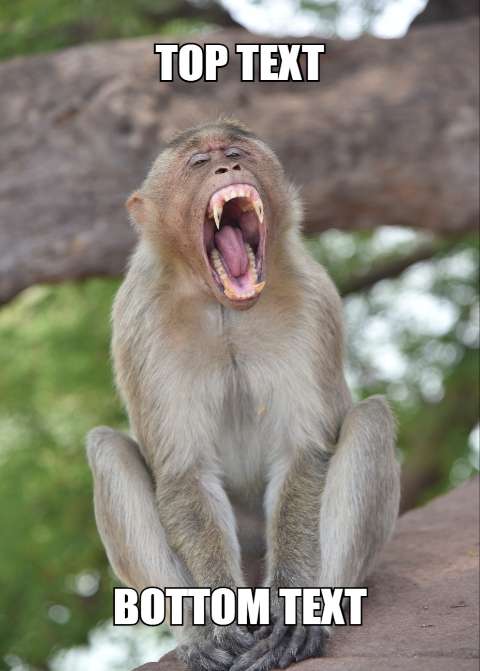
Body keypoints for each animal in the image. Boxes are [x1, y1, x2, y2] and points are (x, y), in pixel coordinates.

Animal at [86, 120, 400, 671]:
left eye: (236, 151)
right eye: (198, 162)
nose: (226, 166)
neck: (223, 306)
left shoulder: (312, 298)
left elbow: (304, 453)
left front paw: (293, 613)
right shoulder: (139, 318)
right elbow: (184, 472)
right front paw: (218, 624)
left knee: (372, 420)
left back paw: (312, 622)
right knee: (108, 451)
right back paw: (199, 641)